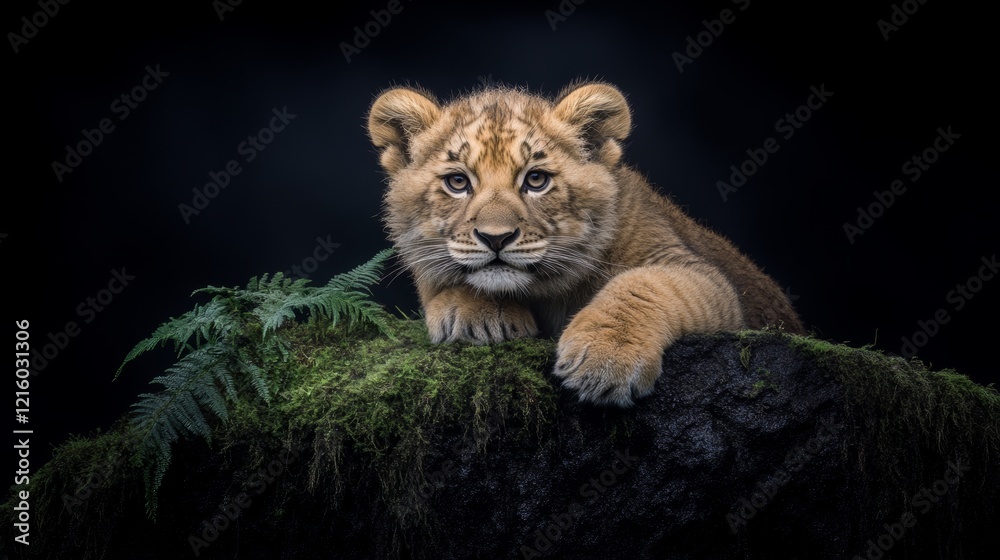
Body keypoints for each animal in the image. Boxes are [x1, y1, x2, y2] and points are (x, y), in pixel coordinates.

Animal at [366, 81, 804, 406]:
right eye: (457, 182)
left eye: (536, 180)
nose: (496, 238)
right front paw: (478, 315)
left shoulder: (702, 274)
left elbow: (644, 284)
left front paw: (605, 357)